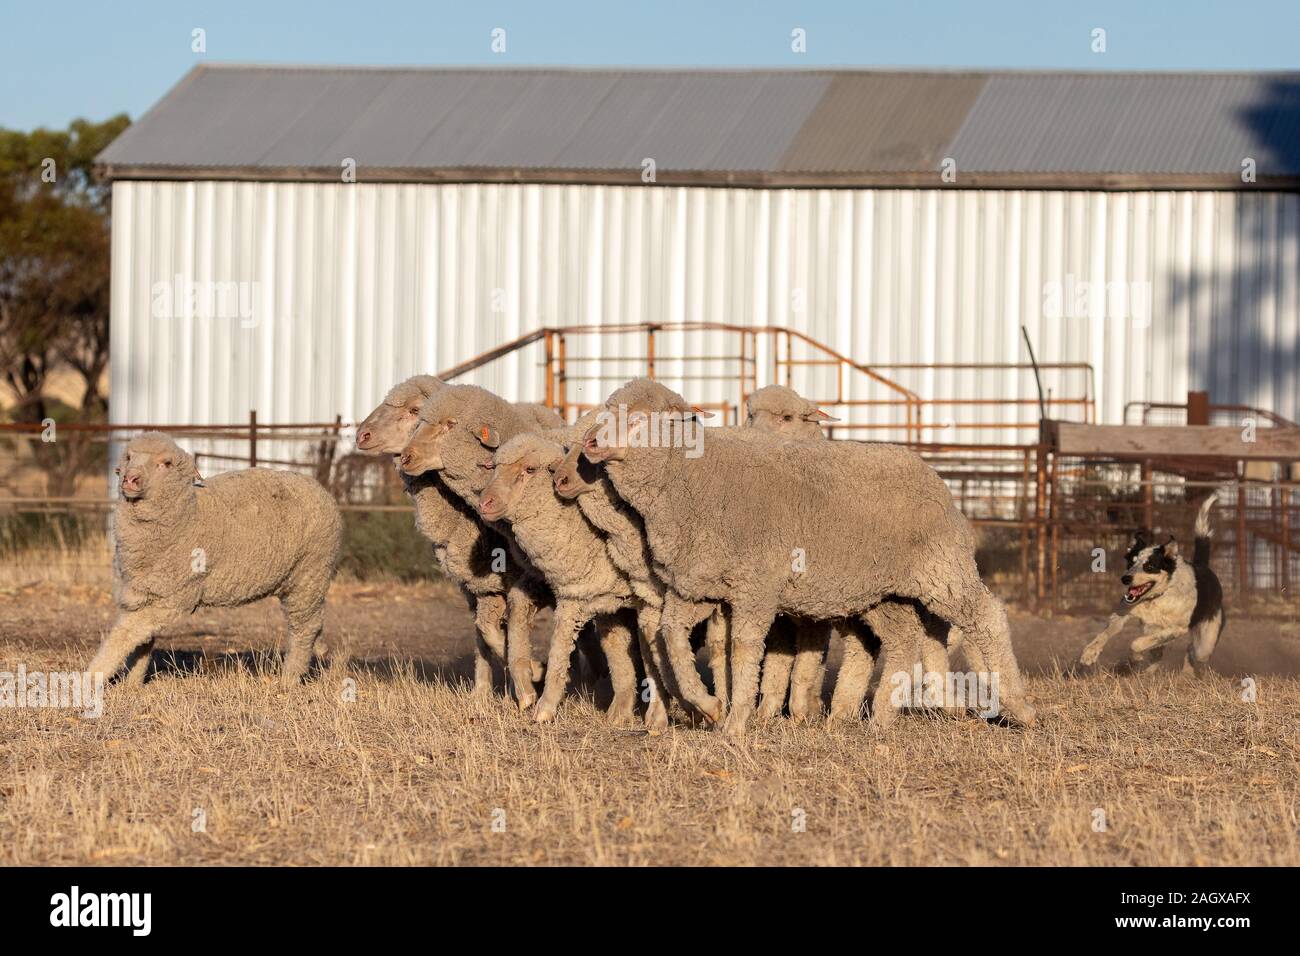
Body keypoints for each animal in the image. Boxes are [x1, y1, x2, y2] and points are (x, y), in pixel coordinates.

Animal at [87, 431, 340, 686]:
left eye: (166, 464)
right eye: (128, 457)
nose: (130, 479)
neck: (187, 516)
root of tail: (320, 489)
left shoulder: (173, 599)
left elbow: (125, 634)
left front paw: (92, 676)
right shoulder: (142, 593)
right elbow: (142, 641)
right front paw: (132, 684)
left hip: (309, 574)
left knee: (304, 628)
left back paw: (289, 678)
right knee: (313, 624)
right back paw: (320, 651)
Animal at [585, 377, 1029, 738]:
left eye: (639, 419)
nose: (590, 444)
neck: (693, 481)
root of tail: (931, 473)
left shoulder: (756, 587)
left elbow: (744, 648)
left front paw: (736, 723)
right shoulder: (695, 586)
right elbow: (671, 638)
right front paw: (709, 707)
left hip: (943, 568)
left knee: (987, 616)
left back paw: (1020, 708)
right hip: (881, 593)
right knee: (903, 638)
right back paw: (880, 717)